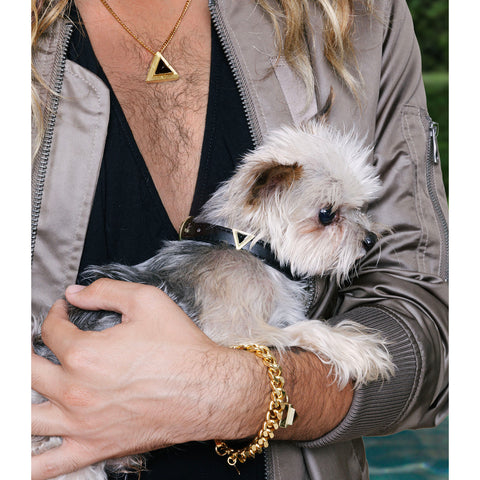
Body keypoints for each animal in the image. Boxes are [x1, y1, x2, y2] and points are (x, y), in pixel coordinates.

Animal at [31, 118, 396, 478]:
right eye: (326, 214)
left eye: (360, 207)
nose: (370, 240)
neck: (245, 246)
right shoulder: (232, 333)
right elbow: (304, 329)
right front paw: (357, 350)